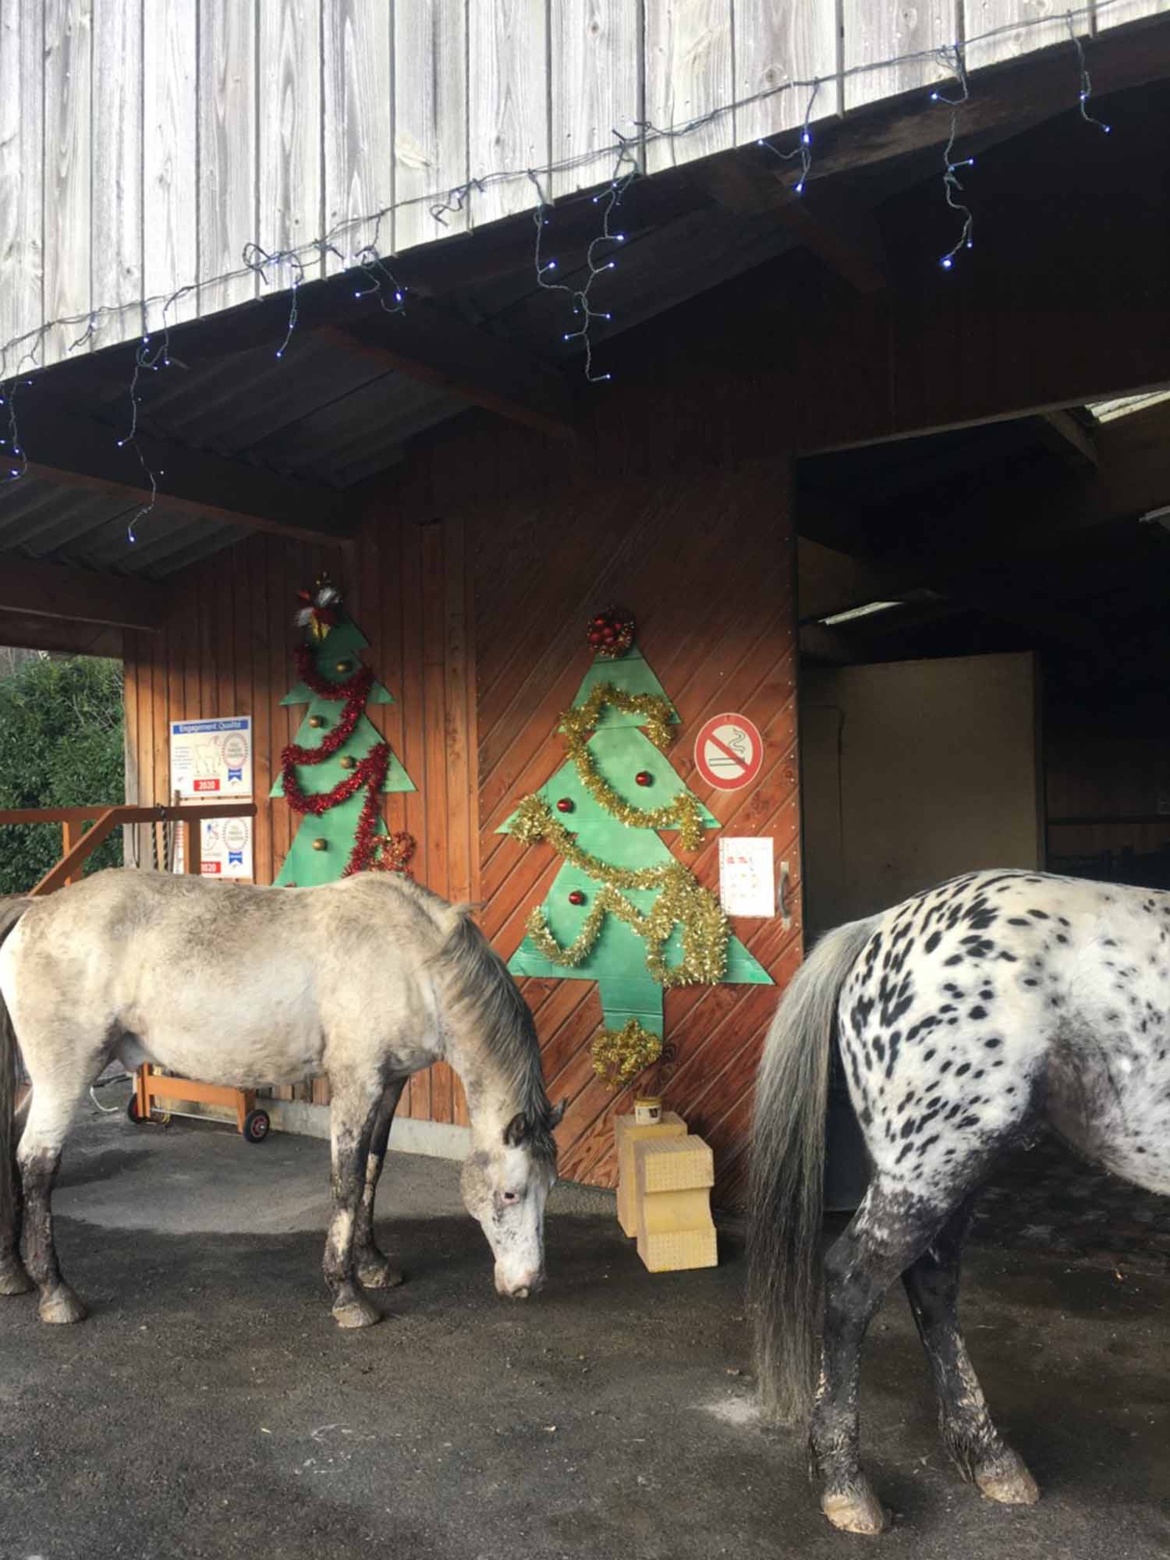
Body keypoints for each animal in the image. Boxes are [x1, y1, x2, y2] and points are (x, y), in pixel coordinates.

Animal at [751, 867, 1170, 1535]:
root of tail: (880, 926)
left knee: (932, 1282)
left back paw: (989, 1456)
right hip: (932, 1159)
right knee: (854, 1282)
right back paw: (846, 1485)